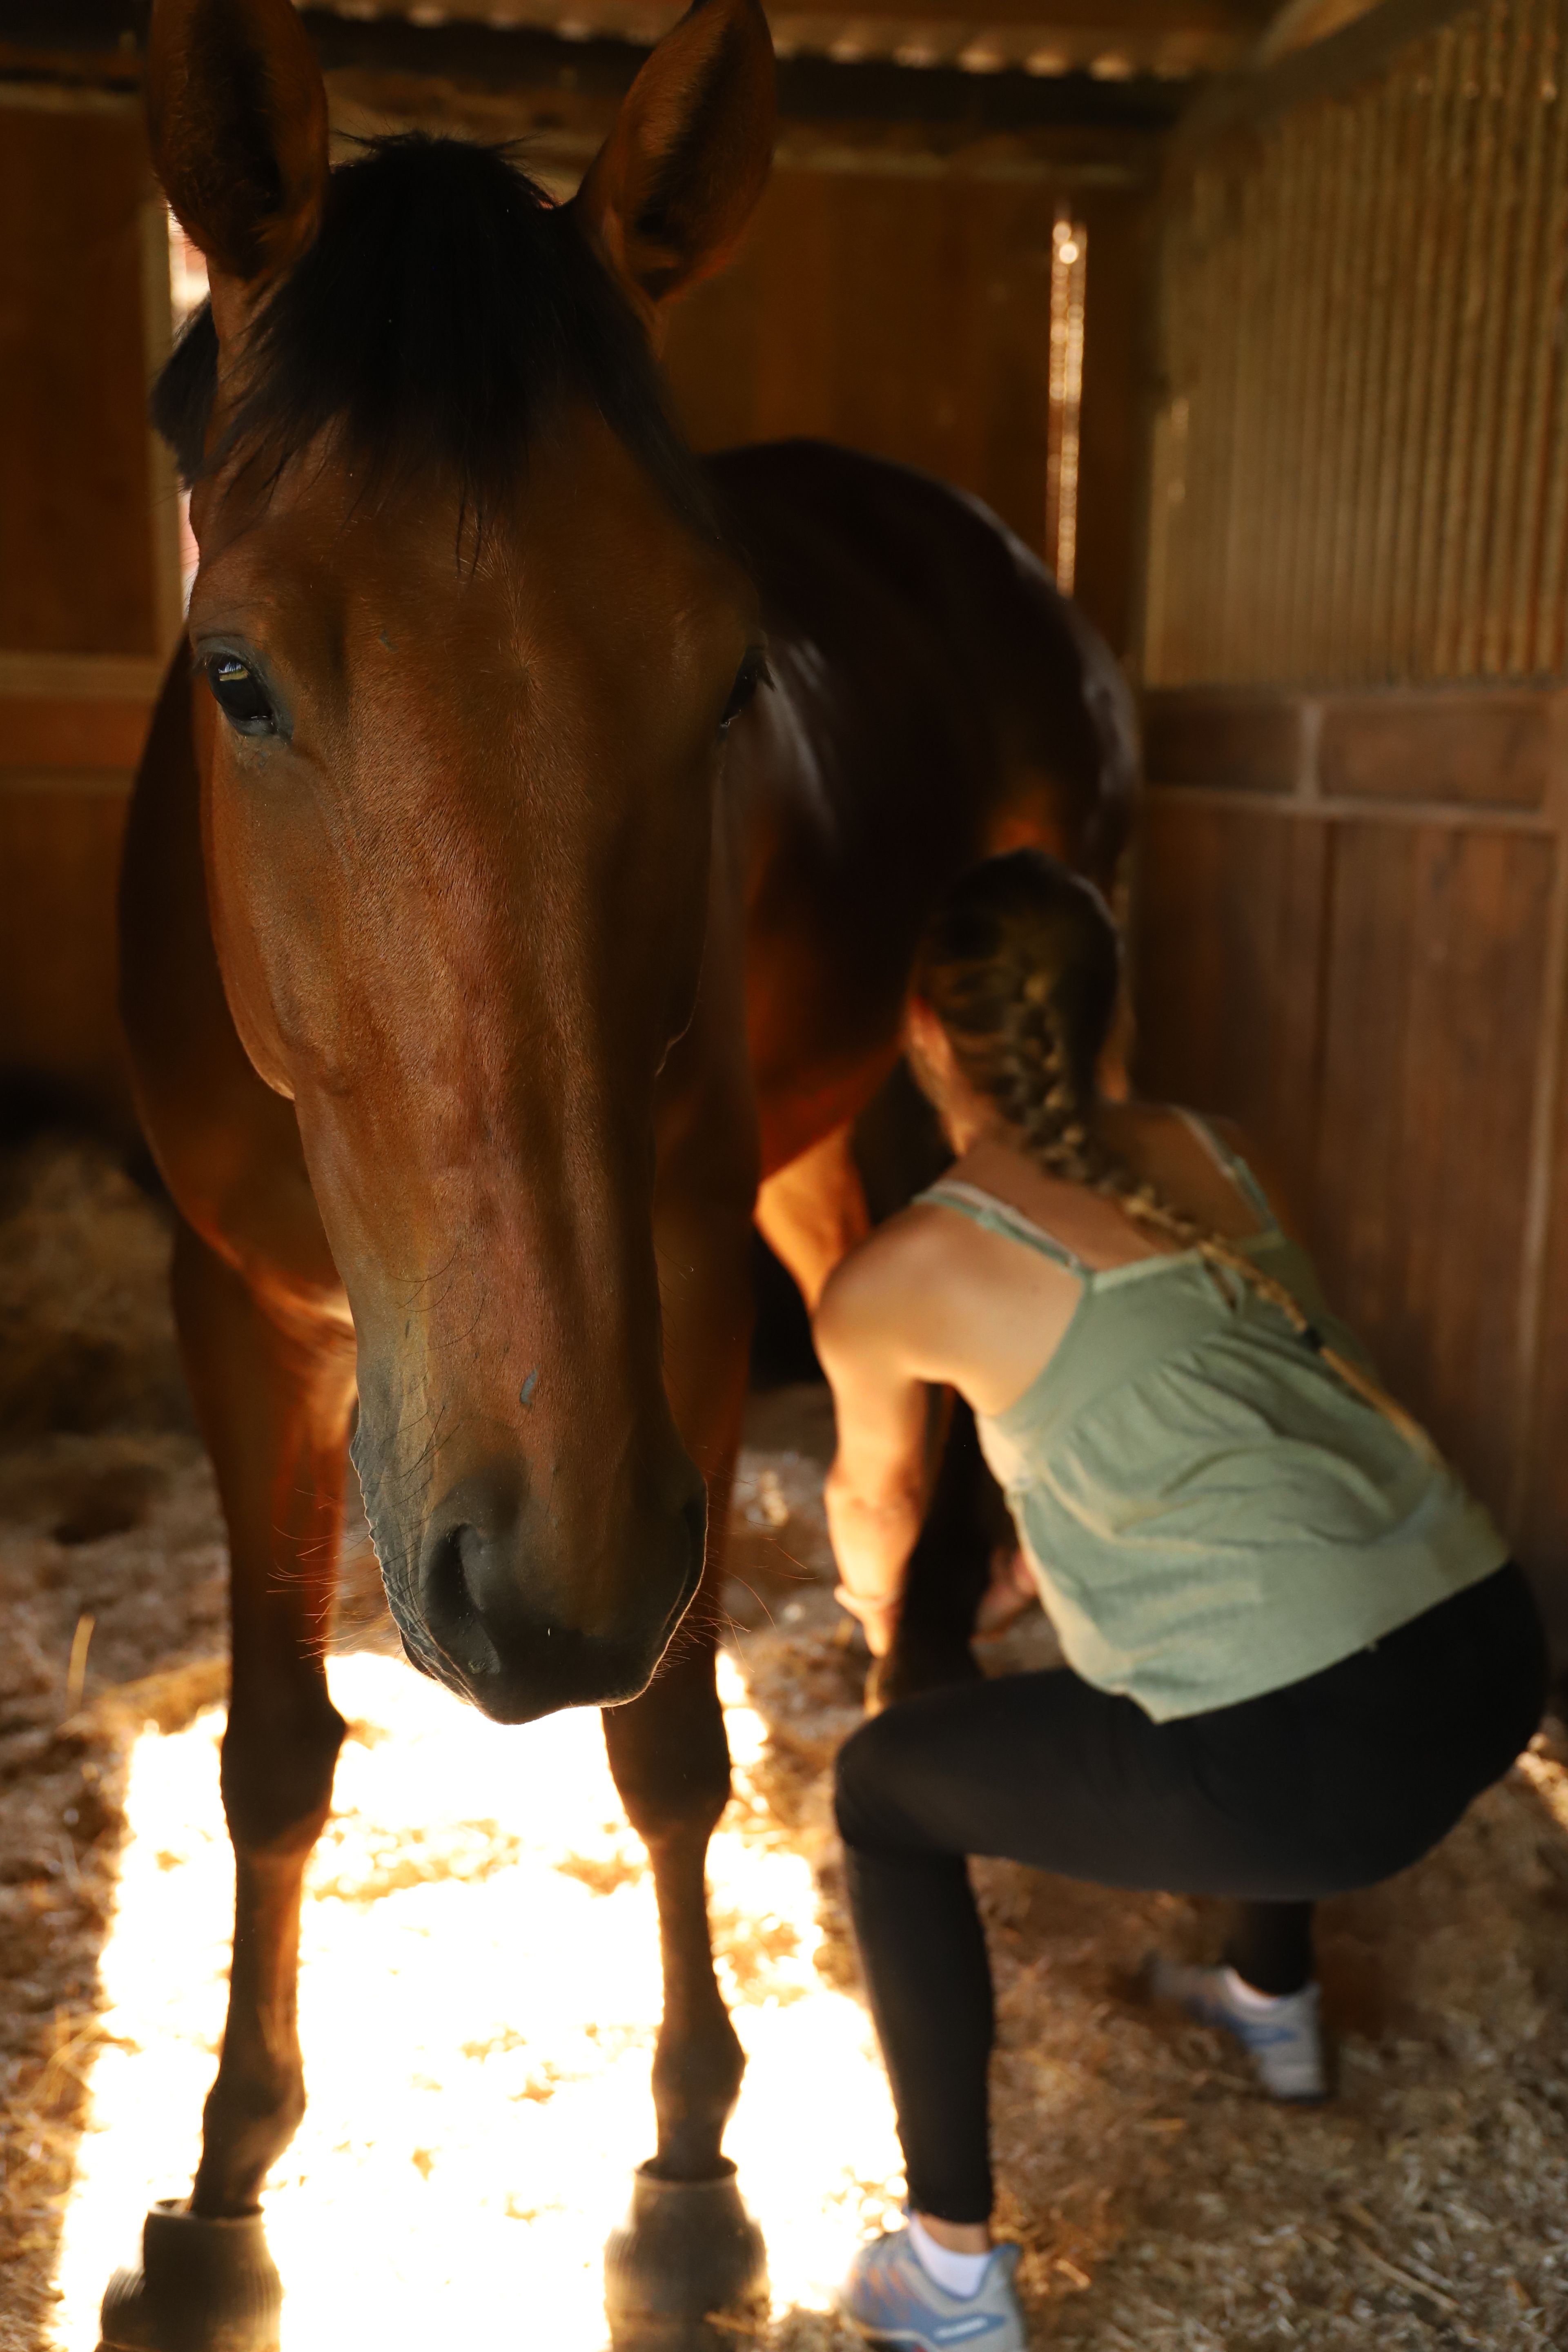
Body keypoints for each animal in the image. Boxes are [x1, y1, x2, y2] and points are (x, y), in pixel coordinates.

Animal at [101, 2, 1136, 2344]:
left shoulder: (657, 1294)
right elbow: (273, 1758)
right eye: (237, 673)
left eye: (724, 670)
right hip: (818, 1160)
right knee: (887, 1455)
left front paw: (687, 2175)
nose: (537, 1589)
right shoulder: (236, 1314)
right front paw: (223, 2187)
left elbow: (665, 1750)